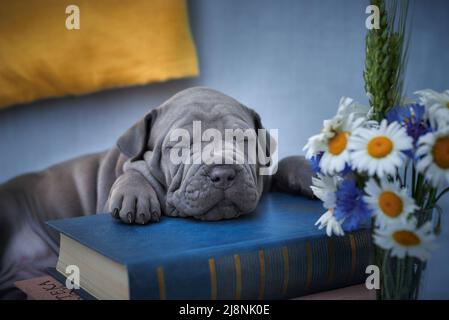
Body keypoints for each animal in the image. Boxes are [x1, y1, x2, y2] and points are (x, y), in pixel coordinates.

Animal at [0, 87, 314, 298]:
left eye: (243, 140)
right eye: (180, 145)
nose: (223, 173)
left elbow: (284, 163)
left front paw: (312, 172)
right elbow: (132, 173)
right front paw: (135, 195)